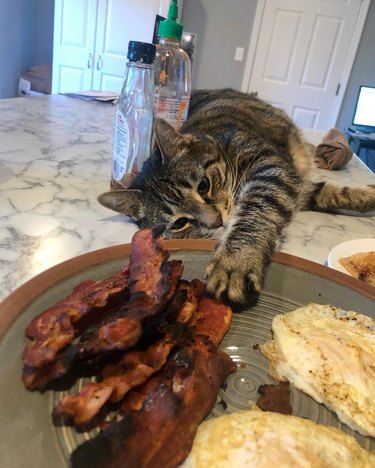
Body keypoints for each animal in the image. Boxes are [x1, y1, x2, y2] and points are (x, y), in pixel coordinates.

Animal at [97, 88, 375, 308]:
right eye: (179, 223)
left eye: (204, 186)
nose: (216, 222)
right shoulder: (295, 185)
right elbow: (330, 194)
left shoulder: (271, 167)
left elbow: (259, 209)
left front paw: (236, 259)